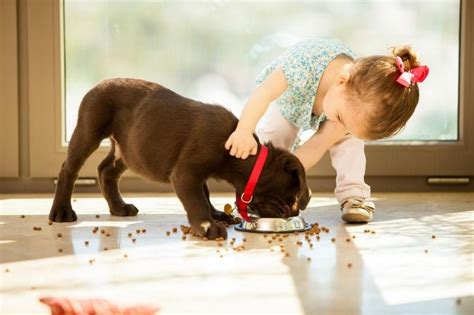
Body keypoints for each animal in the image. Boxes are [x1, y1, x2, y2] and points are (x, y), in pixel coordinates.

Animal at [50, 78, 312, 239]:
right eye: (291, 196)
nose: (292, 213)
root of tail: (98, 84)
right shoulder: (186, 173)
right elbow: (197, 200)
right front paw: (208, 225)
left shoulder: (197, 175)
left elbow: (205, 194)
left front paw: (216, 215)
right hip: (89, 129)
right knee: (68, 169)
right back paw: (62, 211)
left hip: (128, 149)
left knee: (106, 170)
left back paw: (118, 207)